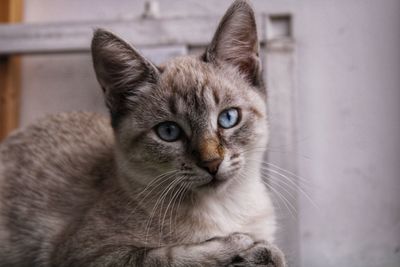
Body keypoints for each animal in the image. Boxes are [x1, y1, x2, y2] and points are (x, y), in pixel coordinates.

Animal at [1, 0, 286, 266]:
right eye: (169, 131)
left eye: (228, 118)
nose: (212, 163)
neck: (226, 207)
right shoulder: (86, 255)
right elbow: (169, 255)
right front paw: (240, 246)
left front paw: (260, 252)